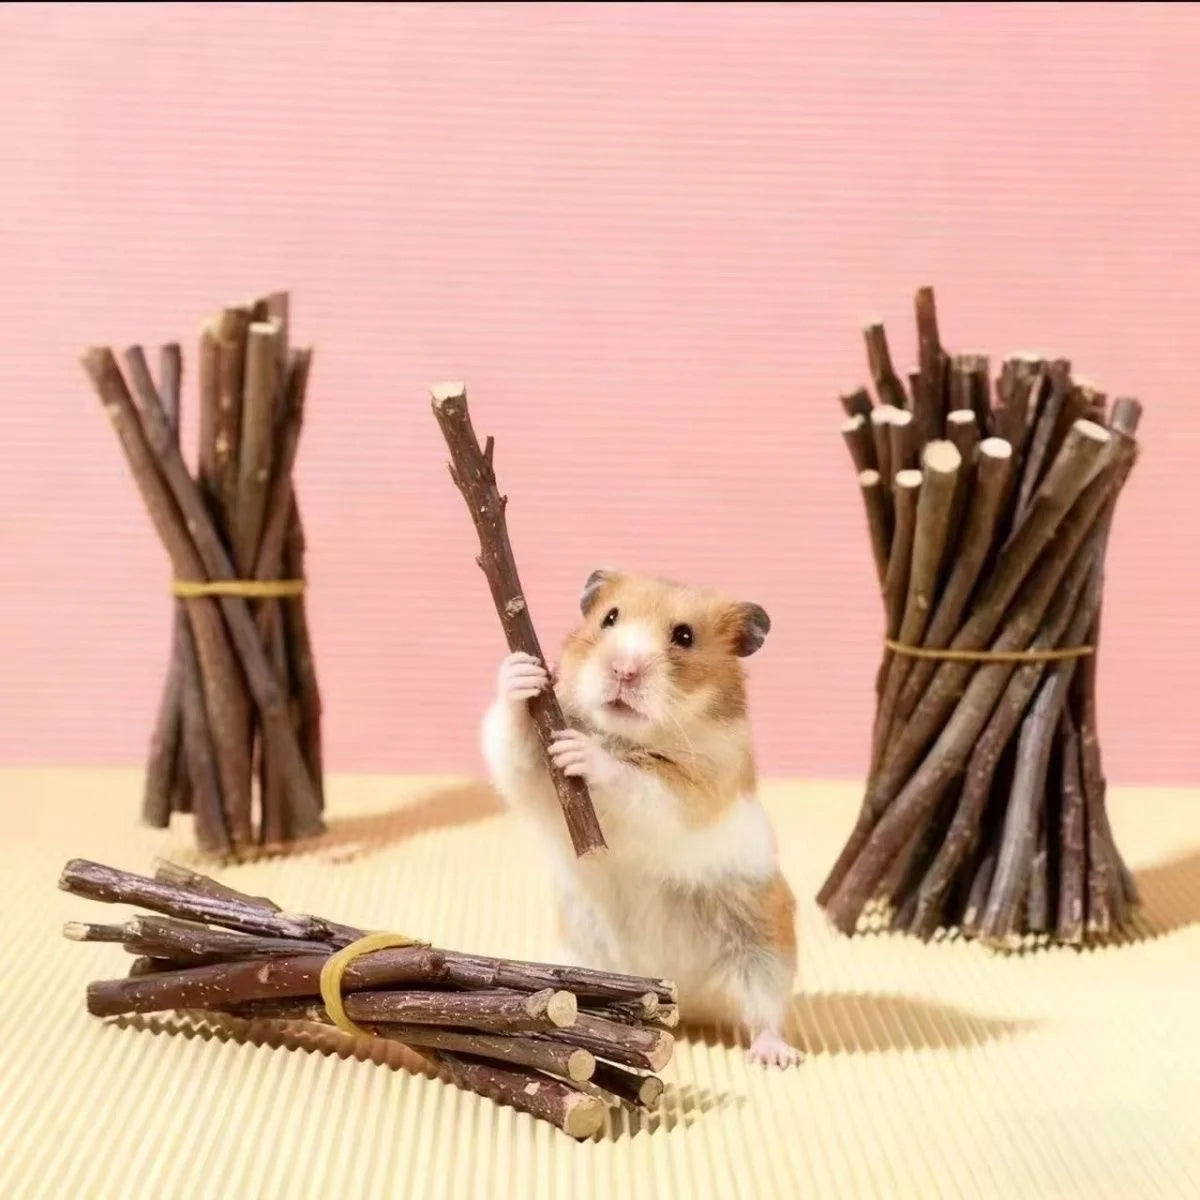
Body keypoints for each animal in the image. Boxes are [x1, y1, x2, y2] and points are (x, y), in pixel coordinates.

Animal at [481, 569, 801, 1068]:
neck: (625, 735)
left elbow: (636, 782)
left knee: (764, 1013)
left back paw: (775, 1056)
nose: (623, 671)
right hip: (585, 957)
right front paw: (524, 672)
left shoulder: (691, 792)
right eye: (609, 618)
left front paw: (584, 753)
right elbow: (513, 743)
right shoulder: (534, 776)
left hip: (764, 949)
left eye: (684, 637)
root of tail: (684, 997)